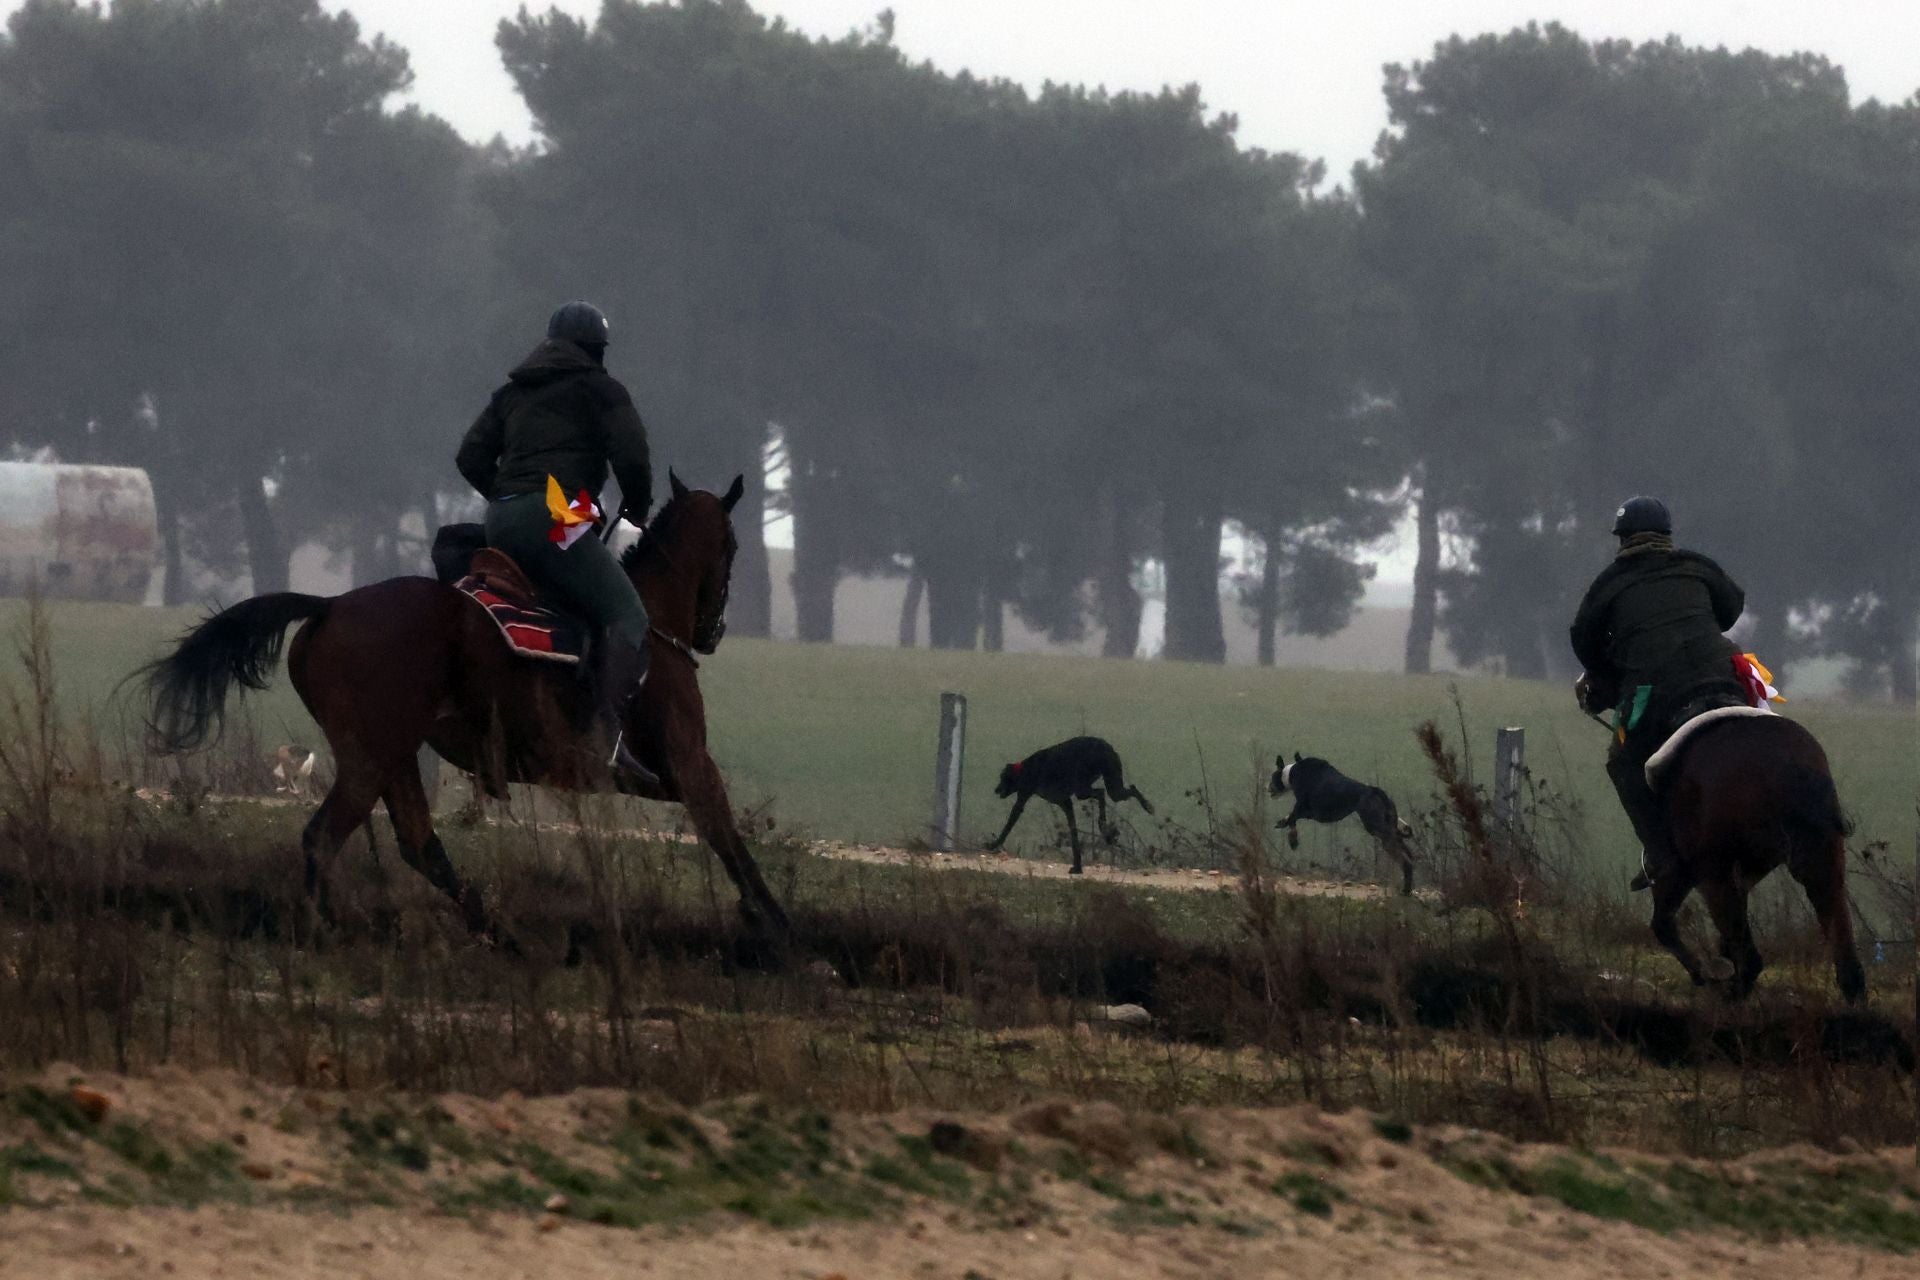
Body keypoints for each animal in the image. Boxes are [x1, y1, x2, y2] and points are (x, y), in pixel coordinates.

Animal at [139, 470, 791, 951]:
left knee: (418, 844)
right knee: (326, 837)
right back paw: (330, 927)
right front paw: (777, 925)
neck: (652, 627)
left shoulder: (671, 776)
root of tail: (328, 605)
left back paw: (496, 930)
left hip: (393, 755)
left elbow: (722, 837)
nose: (712, 632)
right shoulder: (689, 764)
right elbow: (728, 838)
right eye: (733, 545)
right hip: (370, 757)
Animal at [1651, 717, 1858, 1005]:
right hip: (1823, 863)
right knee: (1845, 952)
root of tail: (1789, 763)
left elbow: (1663, 923)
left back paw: (1729, 995)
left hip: (1714, 873)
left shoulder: (1683, 870)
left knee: (1750, 961)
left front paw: (1702, 974)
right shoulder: (1745, 874)